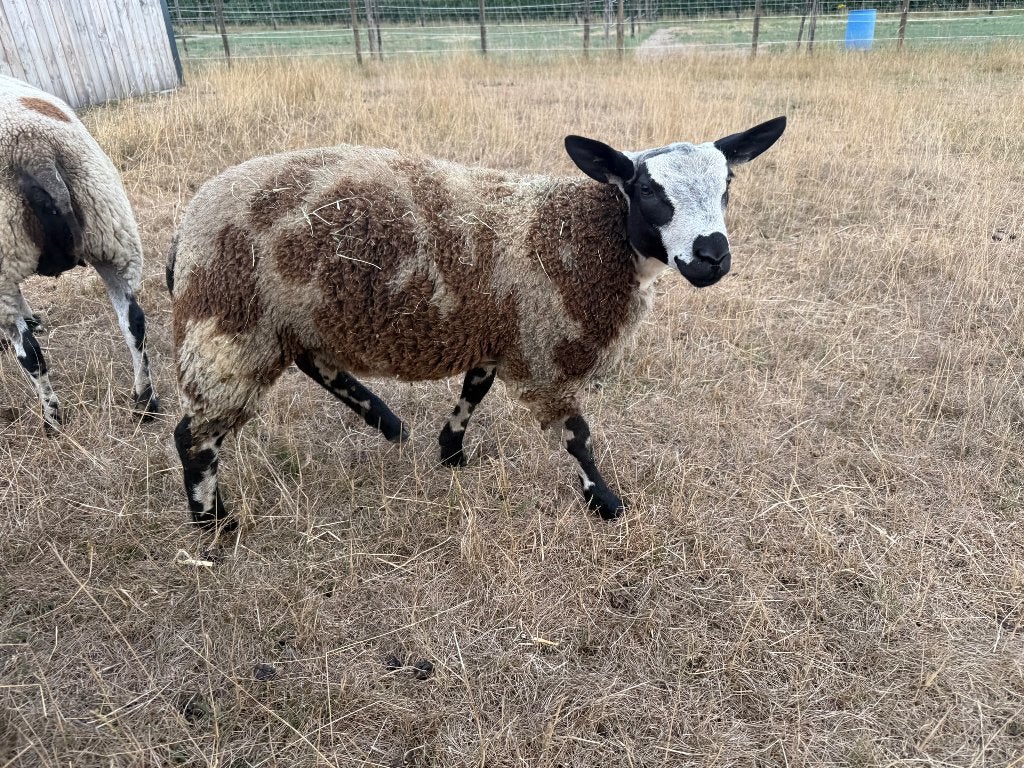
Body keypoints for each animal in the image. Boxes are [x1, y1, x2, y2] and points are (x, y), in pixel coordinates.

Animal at [0, 74, 160, 429]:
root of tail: (33, 150)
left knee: (30, 355)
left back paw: (53, 421)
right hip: (111, 233)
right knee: (134, 323)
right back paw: (145, 401)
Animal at [169, 116, 786, 531]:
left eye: (727, 187)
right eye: (647, 190)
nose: (712, 258)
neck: (587, 234)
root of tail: (188, 224)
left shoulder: (502, 329)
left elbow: (475, 388)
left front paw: (451, 451)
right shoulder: (543, 349)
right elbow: (576, 436)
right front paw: (605, 503)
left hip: (285, 317)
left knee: (312, 363)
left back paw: (386, 422)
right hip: (231, 321)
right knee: (194, 435)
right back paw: (213, 521)